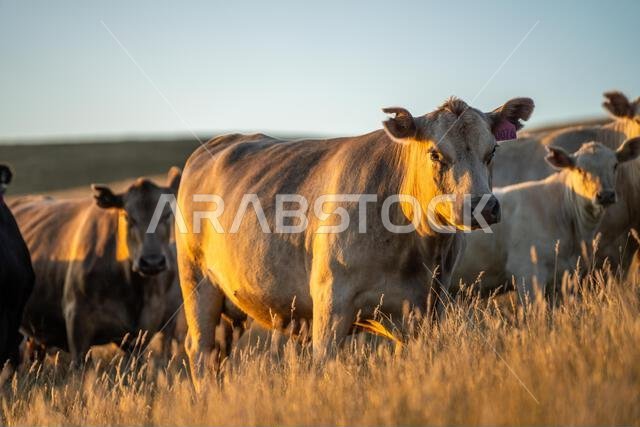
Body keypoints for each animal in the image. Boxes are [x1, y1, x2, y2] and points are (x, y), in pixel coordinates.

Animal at [10, 167, 181, 364]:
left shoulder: (142, 333)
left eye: (167, 214)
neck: (131, 288)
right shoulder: (77, 323)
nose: (152, 261)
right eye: (127, 216)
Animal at [174, 96, 534, 381]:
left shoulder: (428, 307)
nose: (483, 206)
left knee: (218, 354)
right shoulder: (330, 304)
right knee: (200, 351)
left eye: (492, 150)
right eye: (435, 154)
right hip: (198, 281)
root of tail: (216, 145)